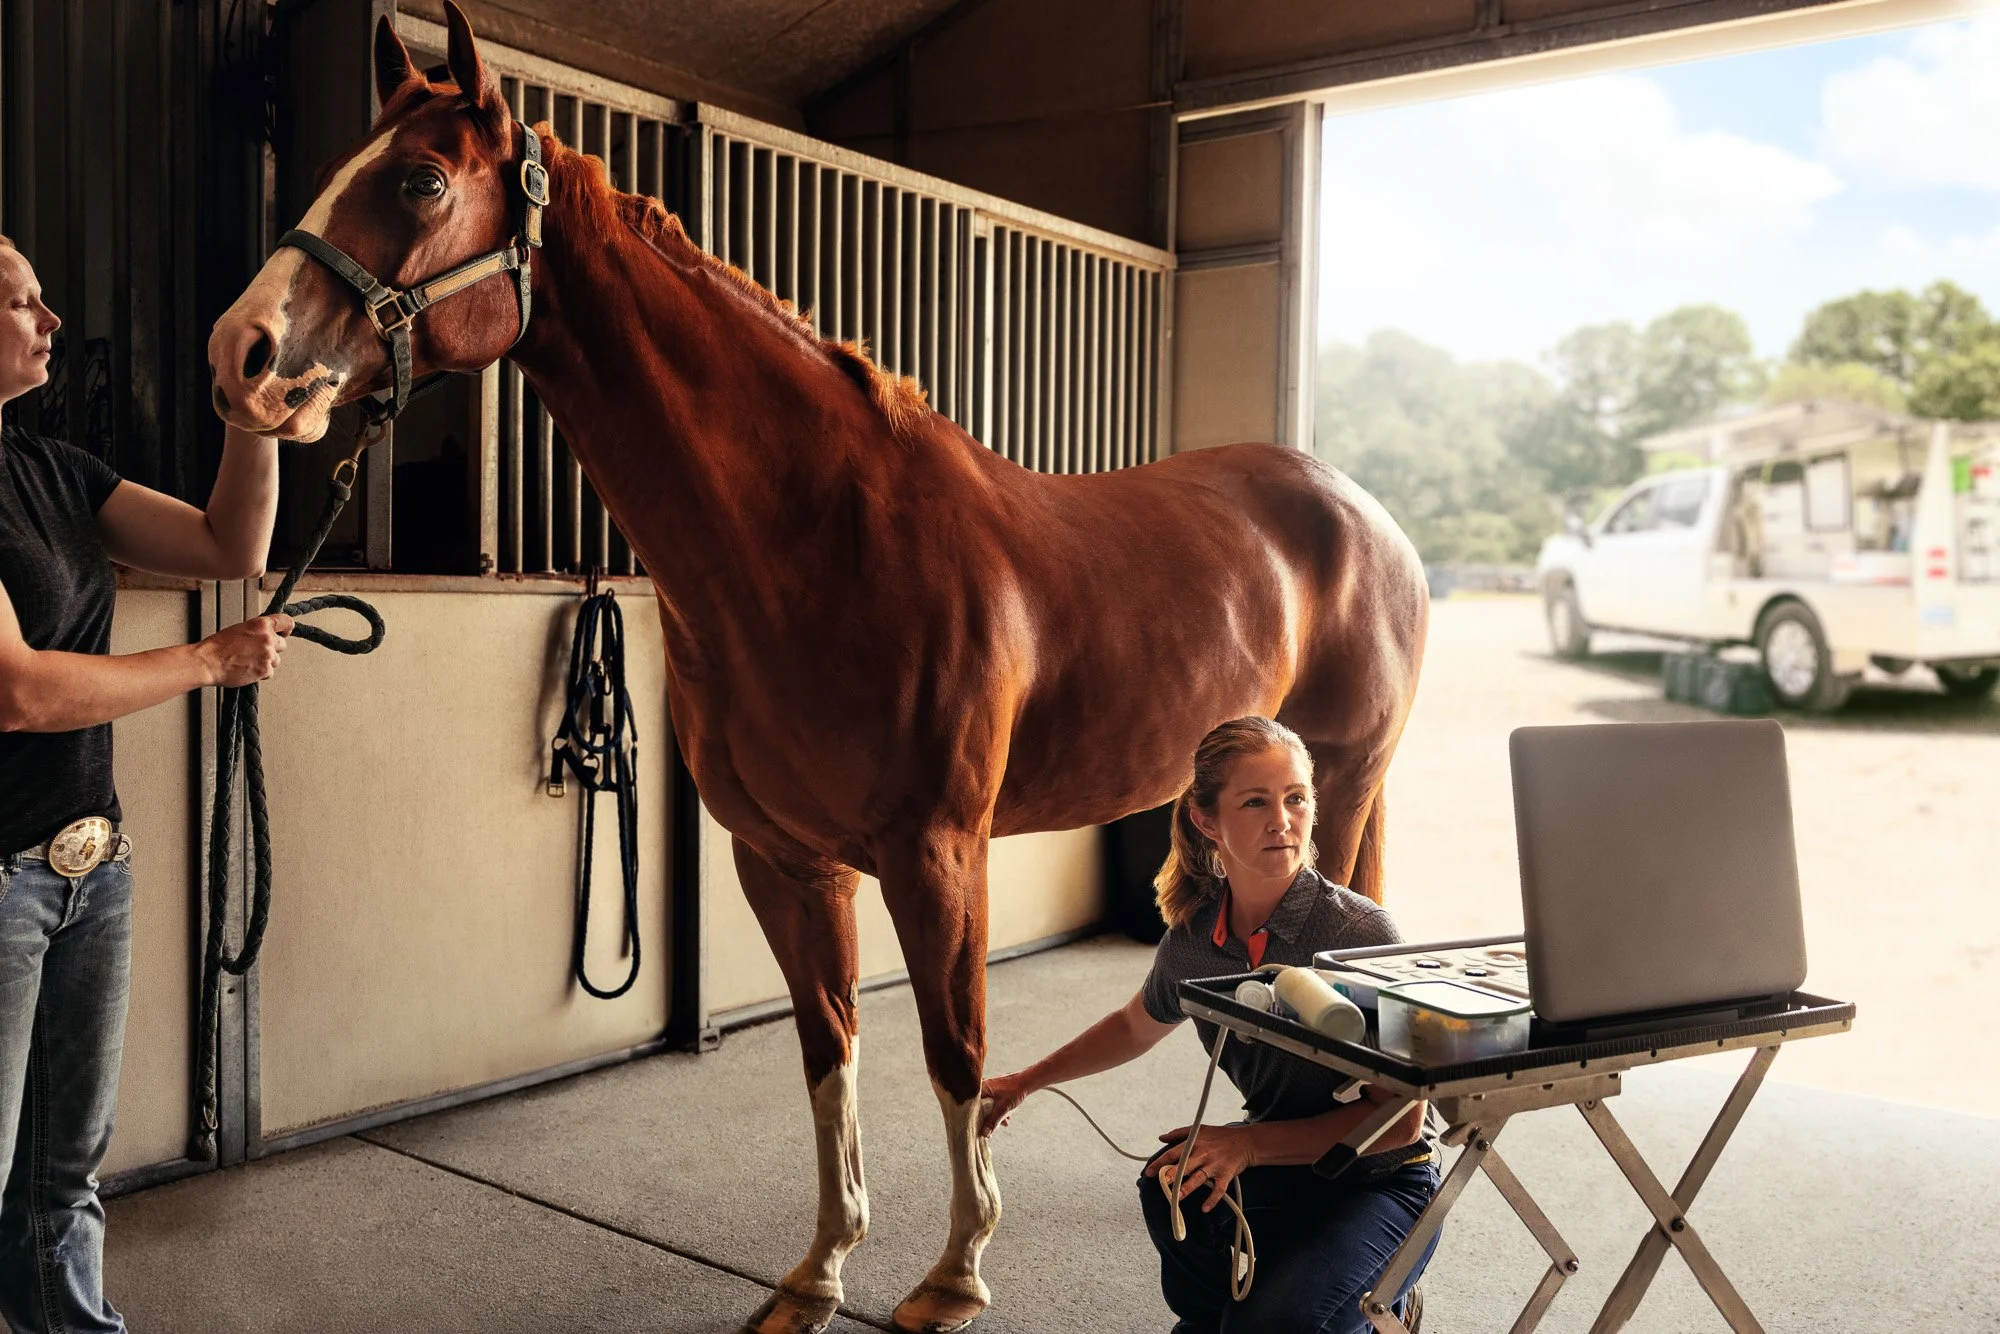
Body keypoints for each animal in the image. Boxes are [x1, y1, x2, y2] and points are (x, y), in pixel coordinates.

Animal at [205, 7, 1427, 1331]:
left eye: (421, 180)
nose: (242, 354)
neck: (817, 540)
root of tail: (1359, 510)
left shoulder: (936, 855)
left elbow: (953, 1051)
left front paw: (953, 1270)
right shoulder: (783, 860)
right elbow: (826, 1046)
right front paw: (821, 1265)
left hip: (1339, 778)